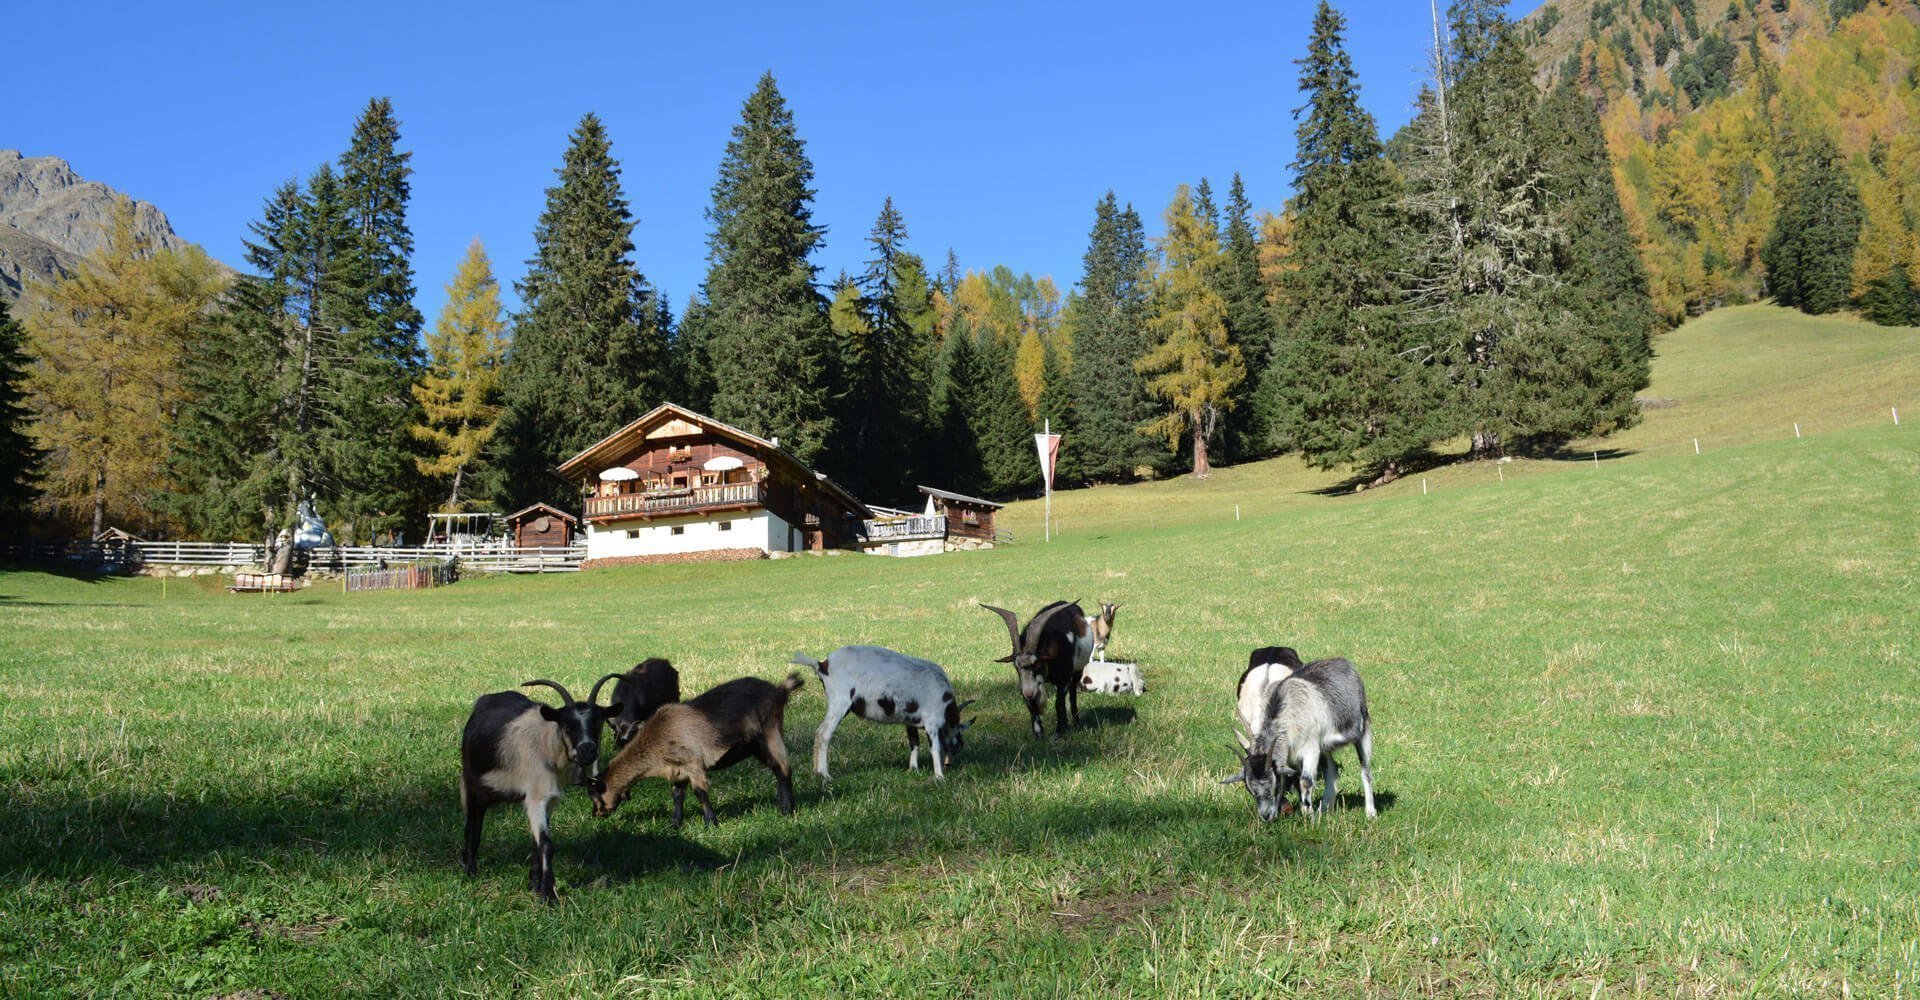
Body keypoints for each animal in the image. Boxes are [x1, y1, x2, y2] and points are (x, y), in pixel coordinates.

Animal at [456, 675, 614, 902]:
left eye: (598, 723)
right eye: (566, 725)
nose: (587, 750)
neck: (548, 746)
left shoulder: (549, 800)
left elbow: (536, 841)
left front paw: (535, 884)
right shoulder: (536, 796)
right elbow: (547, 844)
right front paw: (549, 895)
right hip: (471, 782)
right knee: (472, 825)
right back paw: (470, 870)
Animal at [591, 671, 802, 825]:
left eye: (595, 795)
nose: (595, 814)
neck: (659, 736)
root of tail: (779, 690)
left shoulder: (693, 764)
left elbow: (700, 792)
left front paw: (711, 822)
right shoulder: (677, 770)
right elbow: (677, 794)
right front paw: (675, 823)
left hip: (770, 733)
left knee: (784, 769)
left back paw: (787, 810)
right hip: (756, 746)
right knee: (777, 769)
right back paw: (780, 804)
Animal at [787, 648, 975, 779]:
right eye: (958, 744)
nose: (949, 764)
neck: (946, 705)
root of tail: (823, 665)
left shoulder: (910, 721)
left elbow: (914, 743)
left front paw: (913, 769)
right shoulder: (932, 722)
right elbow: (934, 748)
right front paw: (939, 776)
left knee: (819, 732)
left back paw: (816, 772)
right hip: (839, 702)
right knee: (823, 733)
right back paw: (825, 774)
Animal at [990, 595, 1098, 737]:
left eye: (1037, 664)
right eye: (1016, 667)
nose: (1029, 693)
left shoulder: (1064, 679)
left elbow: (1059, 703)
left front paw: (1059, 732)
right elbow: (1032, 706)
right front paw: (1038, 733)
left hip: (1078, 670)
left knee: (1072, 694)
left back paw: (1076, 723)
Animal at [1221, 656, 1374, 817]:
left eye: (1275, 784)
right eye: (1250, 789)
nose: (1266, 816)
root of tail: (1344, 662)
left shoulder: (1311, 749)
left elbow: (1305, 781)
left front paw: (1308, 817)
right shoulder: (1293, 757)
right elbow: (1297, 779)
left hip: (1363, 729)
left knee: (1366, 771)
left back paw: (1370, 813)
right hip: (1325, 747)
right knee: (1332, 772)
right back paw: (1324, 810)